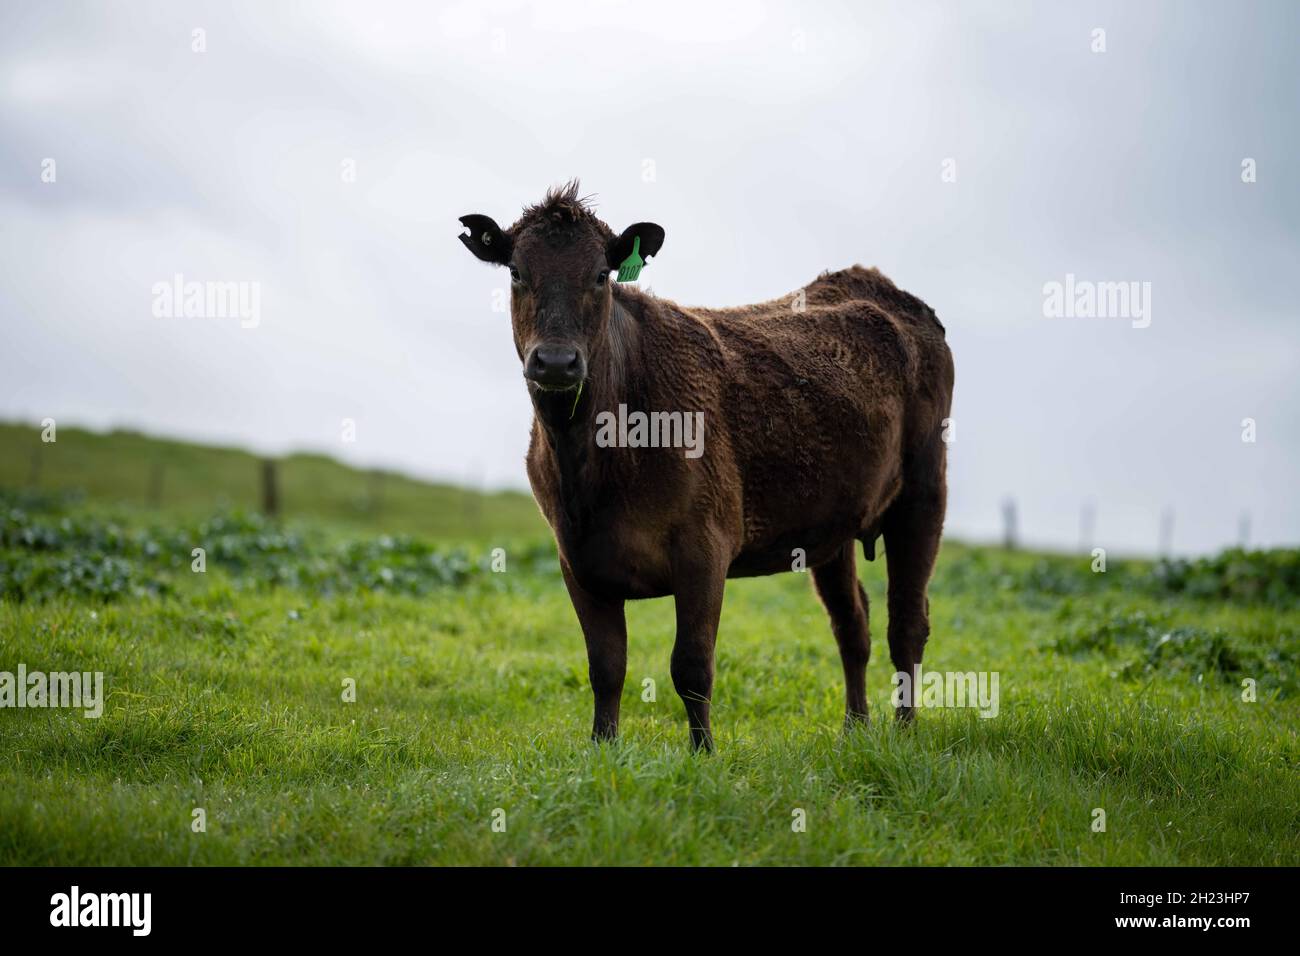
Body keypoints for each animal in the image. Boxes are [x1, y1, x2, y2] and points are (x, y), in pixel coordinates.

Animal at [460, 179, 956, 749]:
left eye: (601, 274)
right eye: (516, 272)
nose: (557, 362)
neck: (593, 464)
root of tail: (877, 282)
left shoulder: (705, 544)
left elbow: (691, 665)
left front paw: (703, 754)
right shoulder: (576, 558)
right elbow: (605, 666)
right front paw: (603, 749)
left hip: (924, 488)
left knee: (907, 621)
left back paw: (905, 730)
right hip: (832, 521)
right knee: (853, 623)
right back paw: (854, 730)